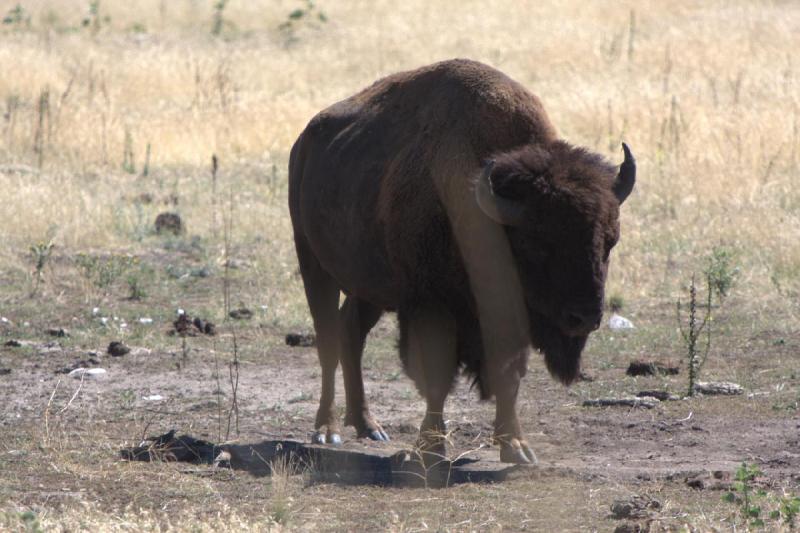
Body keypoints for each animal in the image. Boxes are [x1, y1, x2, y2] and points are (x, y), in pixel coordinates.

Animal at [290, 58, 636, 464]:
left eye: (610, 242)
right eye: (537, 243)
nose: (584, 317)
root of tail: (304, 140)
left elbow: (508, 376)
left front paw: (516, 447)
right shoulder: (430, 308)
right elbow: (437, 378)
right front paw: (431, 447)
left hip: (370, 288)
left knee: (350, 332)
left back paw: (369, 426)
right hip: (314, 265)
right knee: (328, 339)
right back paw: (327, 431)